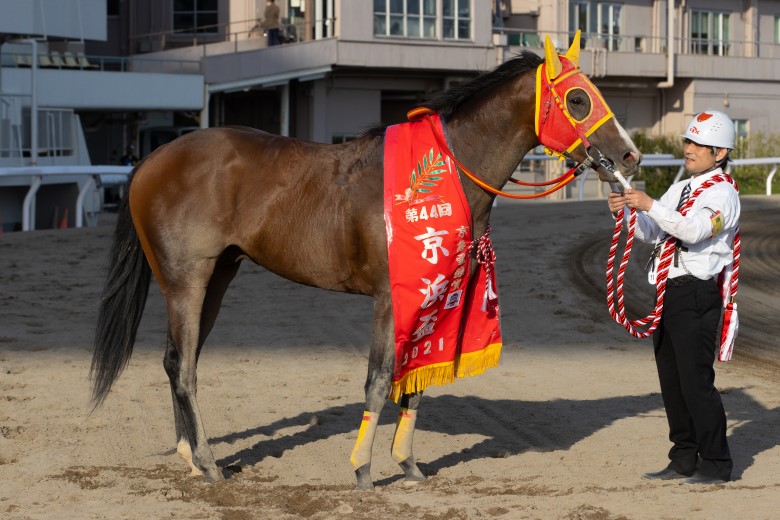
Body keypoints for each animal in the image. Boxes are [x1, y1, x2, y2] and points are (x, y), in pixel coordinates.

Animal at [91, 33, 642, 490]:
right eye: (578, 99)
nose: (630, 156)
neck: (446, 170)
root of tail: (153, 159)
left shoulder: (435, 294)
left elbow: (416, 384)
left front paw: (409, 465)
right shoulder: (388, 298)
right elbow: (379, 380)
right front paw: (363, 469)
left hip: (218, 277)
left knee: (179, 361)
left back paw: (191, 454)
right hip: (187, 280)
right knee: (181, 365)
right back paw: (207, 461)